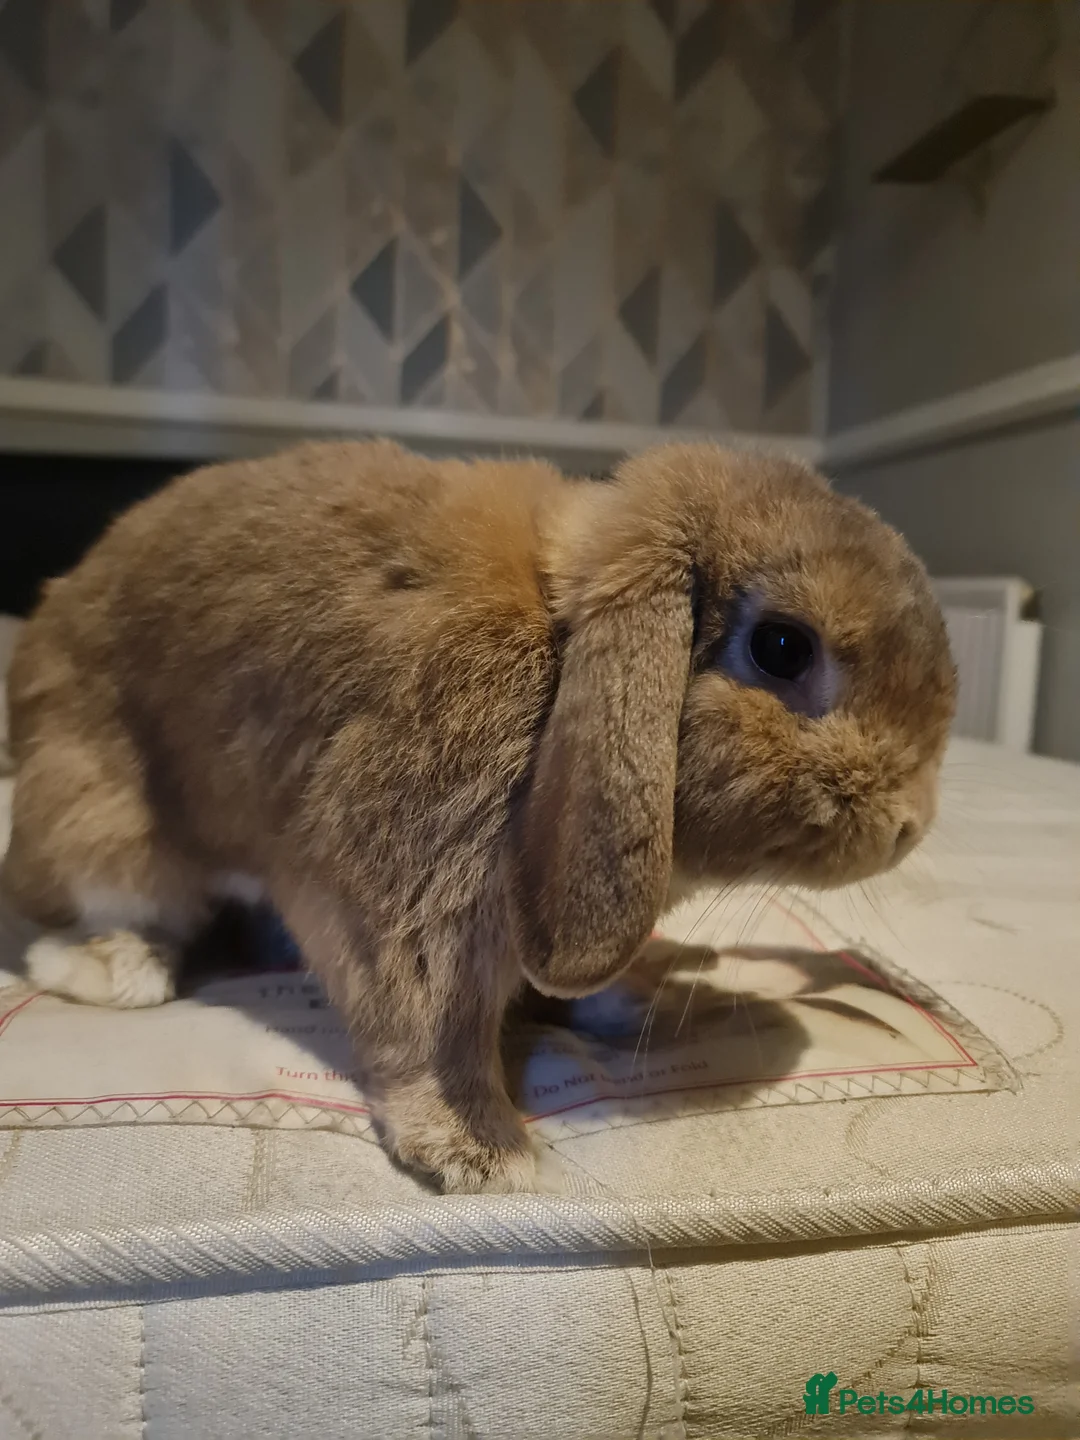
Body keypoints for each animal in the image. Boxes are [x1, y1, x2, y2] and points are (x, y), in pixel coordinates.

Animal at [0, 439, 956, 1193]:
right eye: (783, 648)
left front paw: (635, 998)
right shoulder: (412, 884)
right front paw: (483, 1155)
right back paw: (120, 968)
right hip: (108, 831)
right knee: (81, 919)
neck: (561, 651)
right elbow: (429, 1026)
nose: (909, 827)